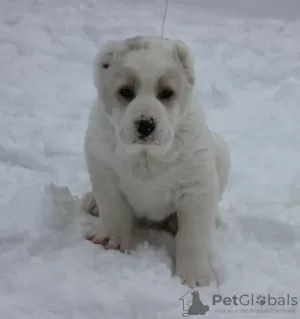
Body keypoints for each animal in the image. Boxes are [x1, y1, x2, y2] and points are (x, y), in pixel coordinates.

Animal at [83, 36, 229, 288]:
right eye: (126, 91)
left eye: (166, 93)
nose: (146, 124)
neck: (145, 156)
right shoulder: (103, 168)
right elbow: (113, 209)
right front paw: (112, 240)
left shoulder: (197, 187)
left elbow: (194, 236)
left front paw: (195, 276)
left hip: (221, 152)